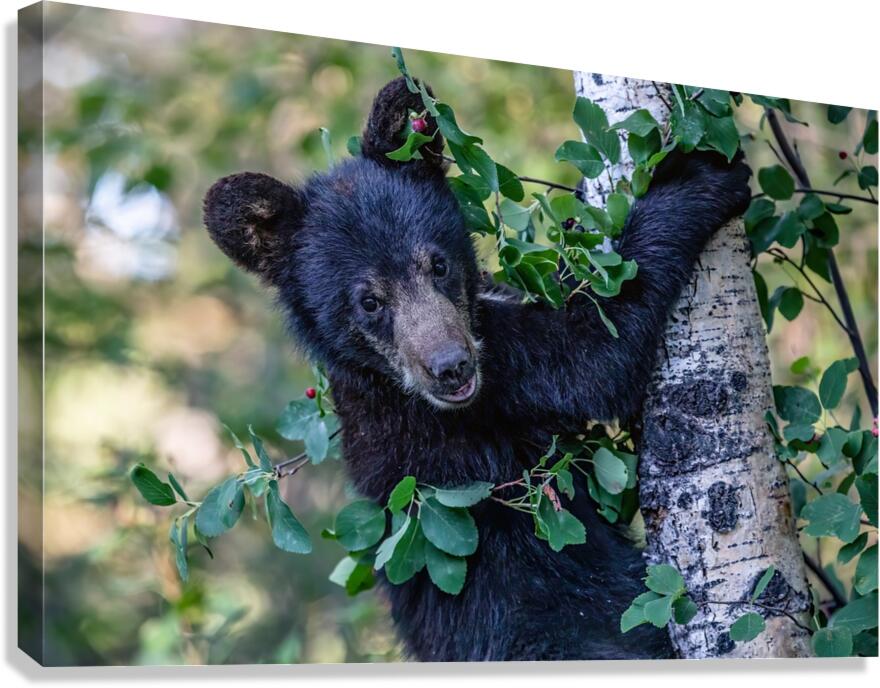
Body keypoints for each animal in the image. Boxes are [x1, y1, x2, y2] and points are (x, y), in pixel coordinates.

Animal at [203, 76, 752, 661]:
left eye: (438, 264)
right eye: (369, 301)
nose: (451, 366)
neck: (384, 384)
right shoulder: (494, 387)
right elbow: (595, 358)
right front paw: (698, 178)